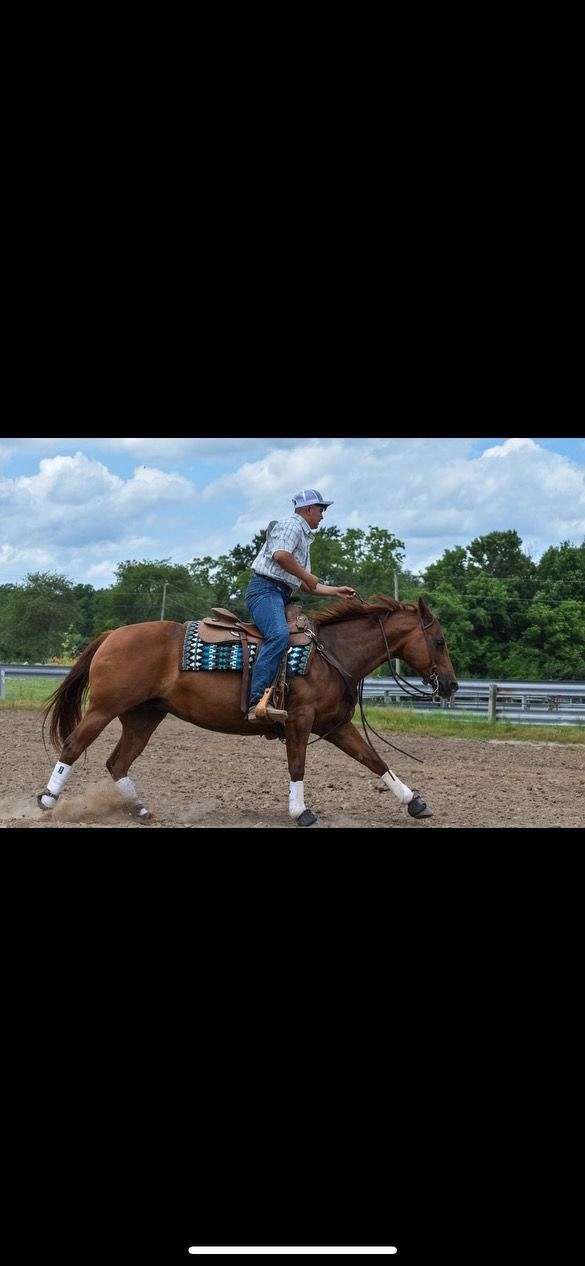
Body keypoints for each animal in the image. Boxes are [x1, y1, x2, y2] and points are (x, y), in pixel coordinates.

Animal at [36, 595, 458, 825]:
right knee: (73, 747)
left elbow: (374, 759)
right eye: (438, 640)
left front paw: (415, 803)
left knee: (118, 762)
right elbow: (297, 765)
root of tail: (113, 635)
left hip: (144, 716)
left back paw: (139, 809)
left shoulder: (336, 725)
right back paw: (46, 803)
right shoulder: (299, 721)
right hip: (103, 709)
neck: (332, 654)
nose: (452, 685)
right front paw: (300, 812)